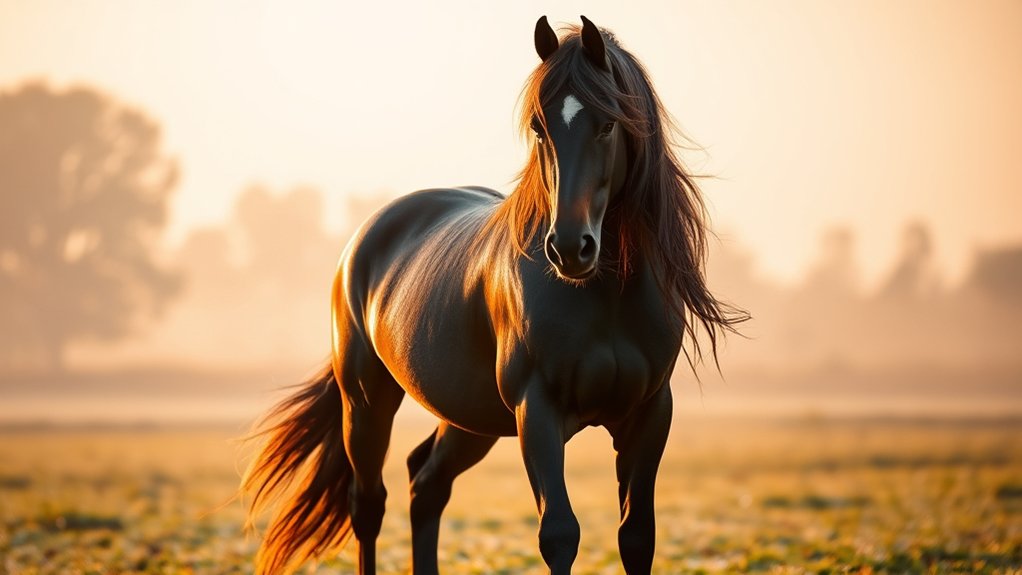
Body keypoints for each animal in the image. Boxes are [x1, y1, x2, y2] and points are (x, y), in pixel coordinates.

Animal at [242, 15, 744, 575]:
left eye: (607, 124)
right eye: (540, 127)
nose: (570, 247)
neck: (605, 297)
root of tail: (363, 240)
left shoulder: (649, 415)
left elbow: (637, 537)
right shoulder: (537, 411)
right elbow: (559, 534)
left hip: (469, 419)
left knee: (426, 484)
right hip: (368, 401)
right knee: (367, 505)